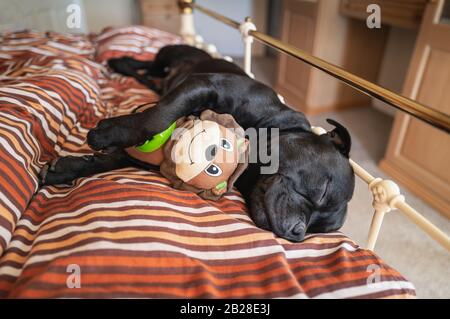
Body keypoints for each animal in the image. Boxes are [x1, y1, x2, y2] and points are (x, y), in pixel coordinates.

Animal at [40, 43, 354, 241]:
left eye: (316, 230)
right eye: (322, 191)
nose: (297, 235)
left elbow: (110, 160)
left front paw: (66, 169)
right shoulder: (203, 85)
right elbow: (157, 117)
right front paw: (108, 133)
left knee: (150, 76)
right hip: (168, 56)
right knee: (148, 65)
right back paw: (119, 60)